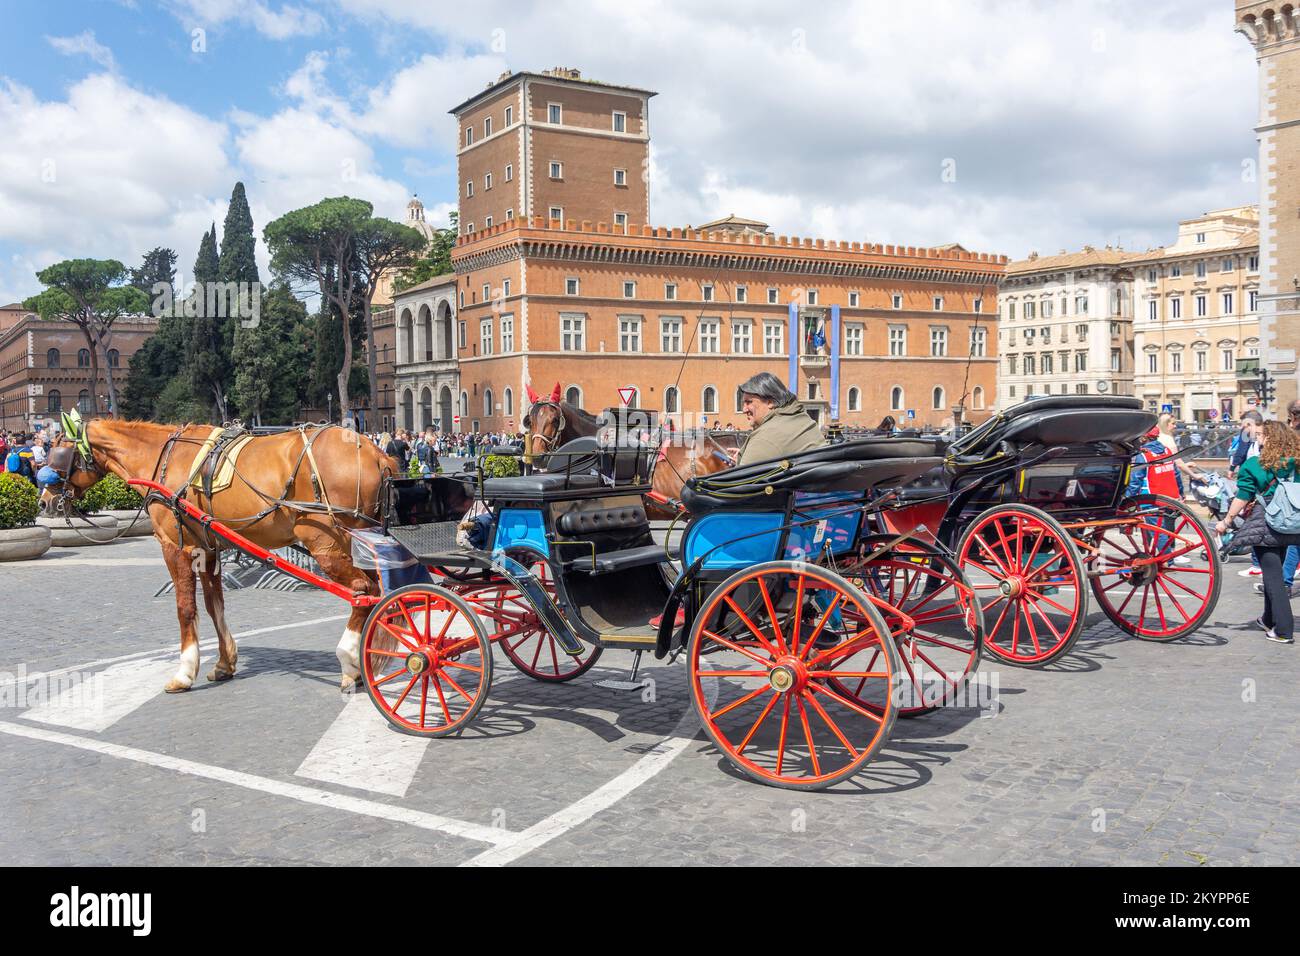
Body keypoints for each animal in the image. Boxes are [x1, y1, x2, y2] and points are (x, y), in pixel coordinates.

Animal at [49, 418, 390, 697]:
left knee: (363, 591)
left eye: (57, 454)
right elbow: (215, 606)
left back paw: (349, 661)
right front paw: (225, 664)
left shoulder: (177, 548)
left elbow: (185, 608)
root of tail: (376, 453)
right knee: (378, 593)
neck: (163, 459)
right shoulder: (208, 549)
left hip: (326, 542)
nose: (49, 498)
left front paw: (184, 672)